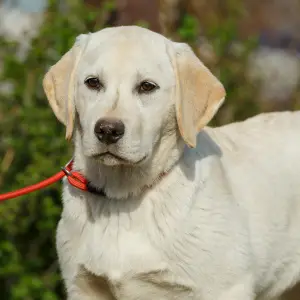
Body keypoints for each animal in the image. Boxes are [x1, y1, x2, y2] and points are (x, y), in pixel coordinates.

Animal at [42, 25, 300, 300]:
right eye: (93, 82)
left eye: (147, 87)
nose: (108, 130)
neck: (122, 197)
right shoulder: (82, 287)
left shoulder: (227, 288)